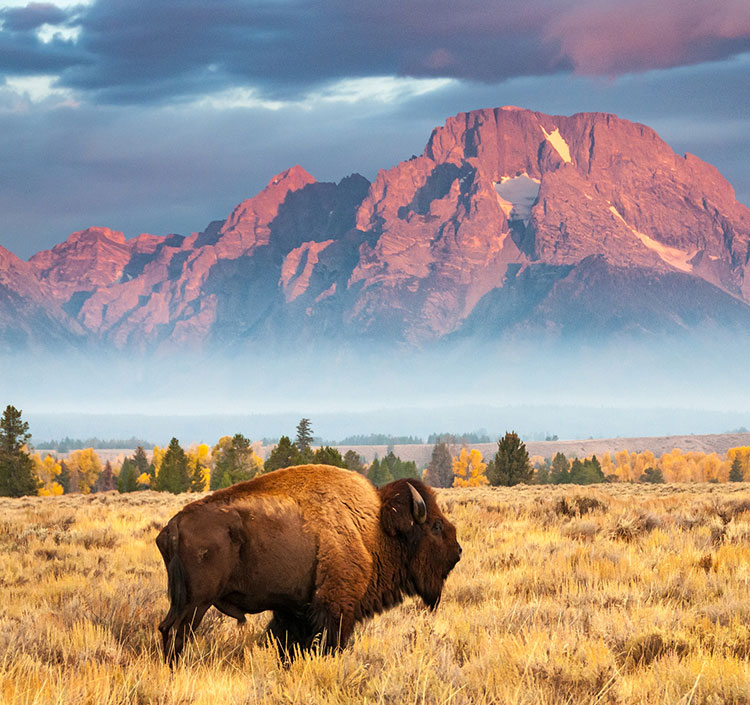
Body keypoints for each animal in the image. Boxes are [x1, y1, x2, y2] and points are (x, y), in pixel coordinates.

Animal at [156, 464, 461, 663]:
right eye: (435, 526)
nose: (457, 551)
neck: (374, 528)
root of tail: (174, 526)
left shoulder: (294, 610)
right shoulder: (336, 608)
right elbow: (329, 644)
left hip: (182, 601)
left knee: (166, 628)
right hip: (196, 603)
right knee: (177, 632)